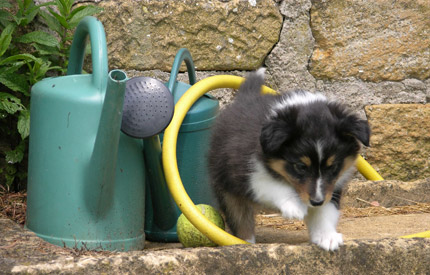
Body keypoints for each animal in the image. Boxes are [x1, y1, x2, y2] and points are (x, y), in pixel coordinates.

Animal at [208, 68, 370, 251]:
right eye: (300, 166)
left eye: (332, 166)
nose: (316, 201)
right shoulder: (250, 173)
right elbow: (275, 186)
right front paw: (294, 207)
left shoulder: (332, 186)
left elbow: (325, 211)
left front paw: (327, 236)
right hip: (226, 183)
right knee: (240, 219)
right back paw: (246, 243)